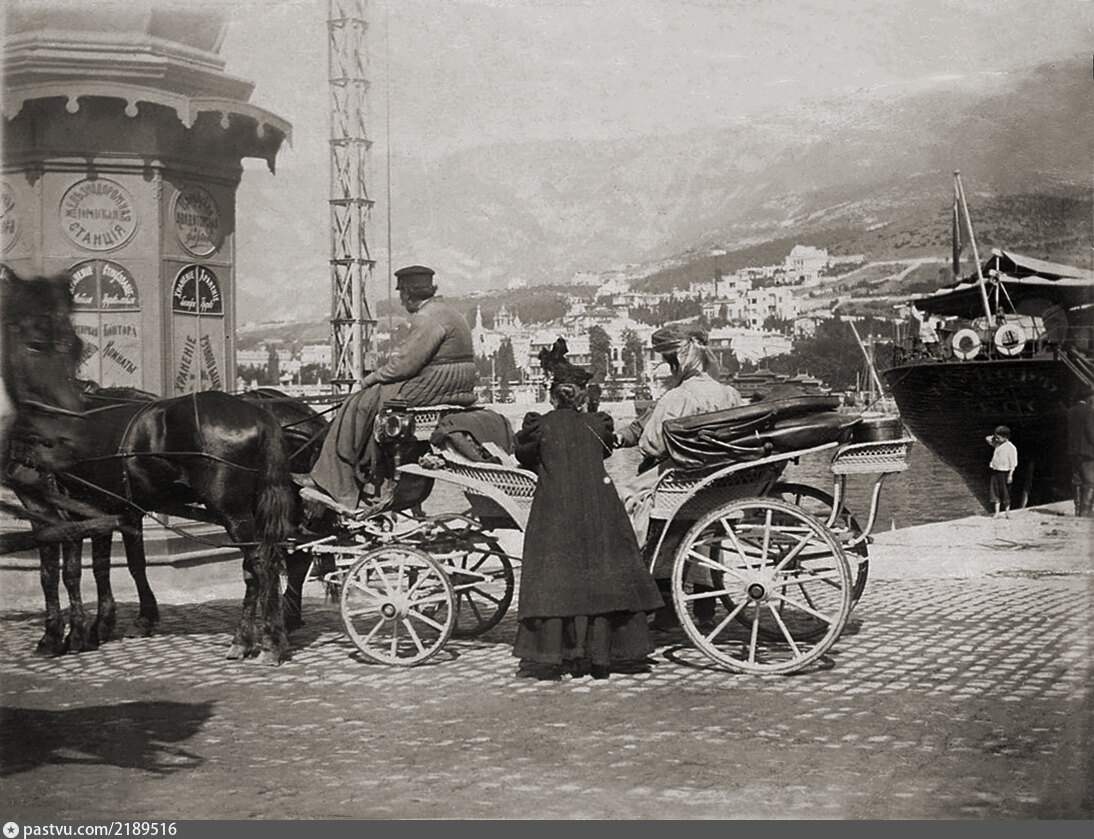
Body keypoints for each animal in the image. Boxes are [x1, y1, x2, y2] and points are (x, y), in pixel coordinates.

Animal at [2, 271, 297, 664]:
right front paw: (106, 625)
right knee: (264, 565)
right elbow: (113, 565)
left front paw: (60, 635)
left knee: (260, 564)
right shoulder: (109, 509)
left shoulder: (51, 510)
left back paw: (261, 641)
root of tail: (260, 414)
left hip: (232, 511)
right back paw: (258, 639)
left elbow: (59, 572)